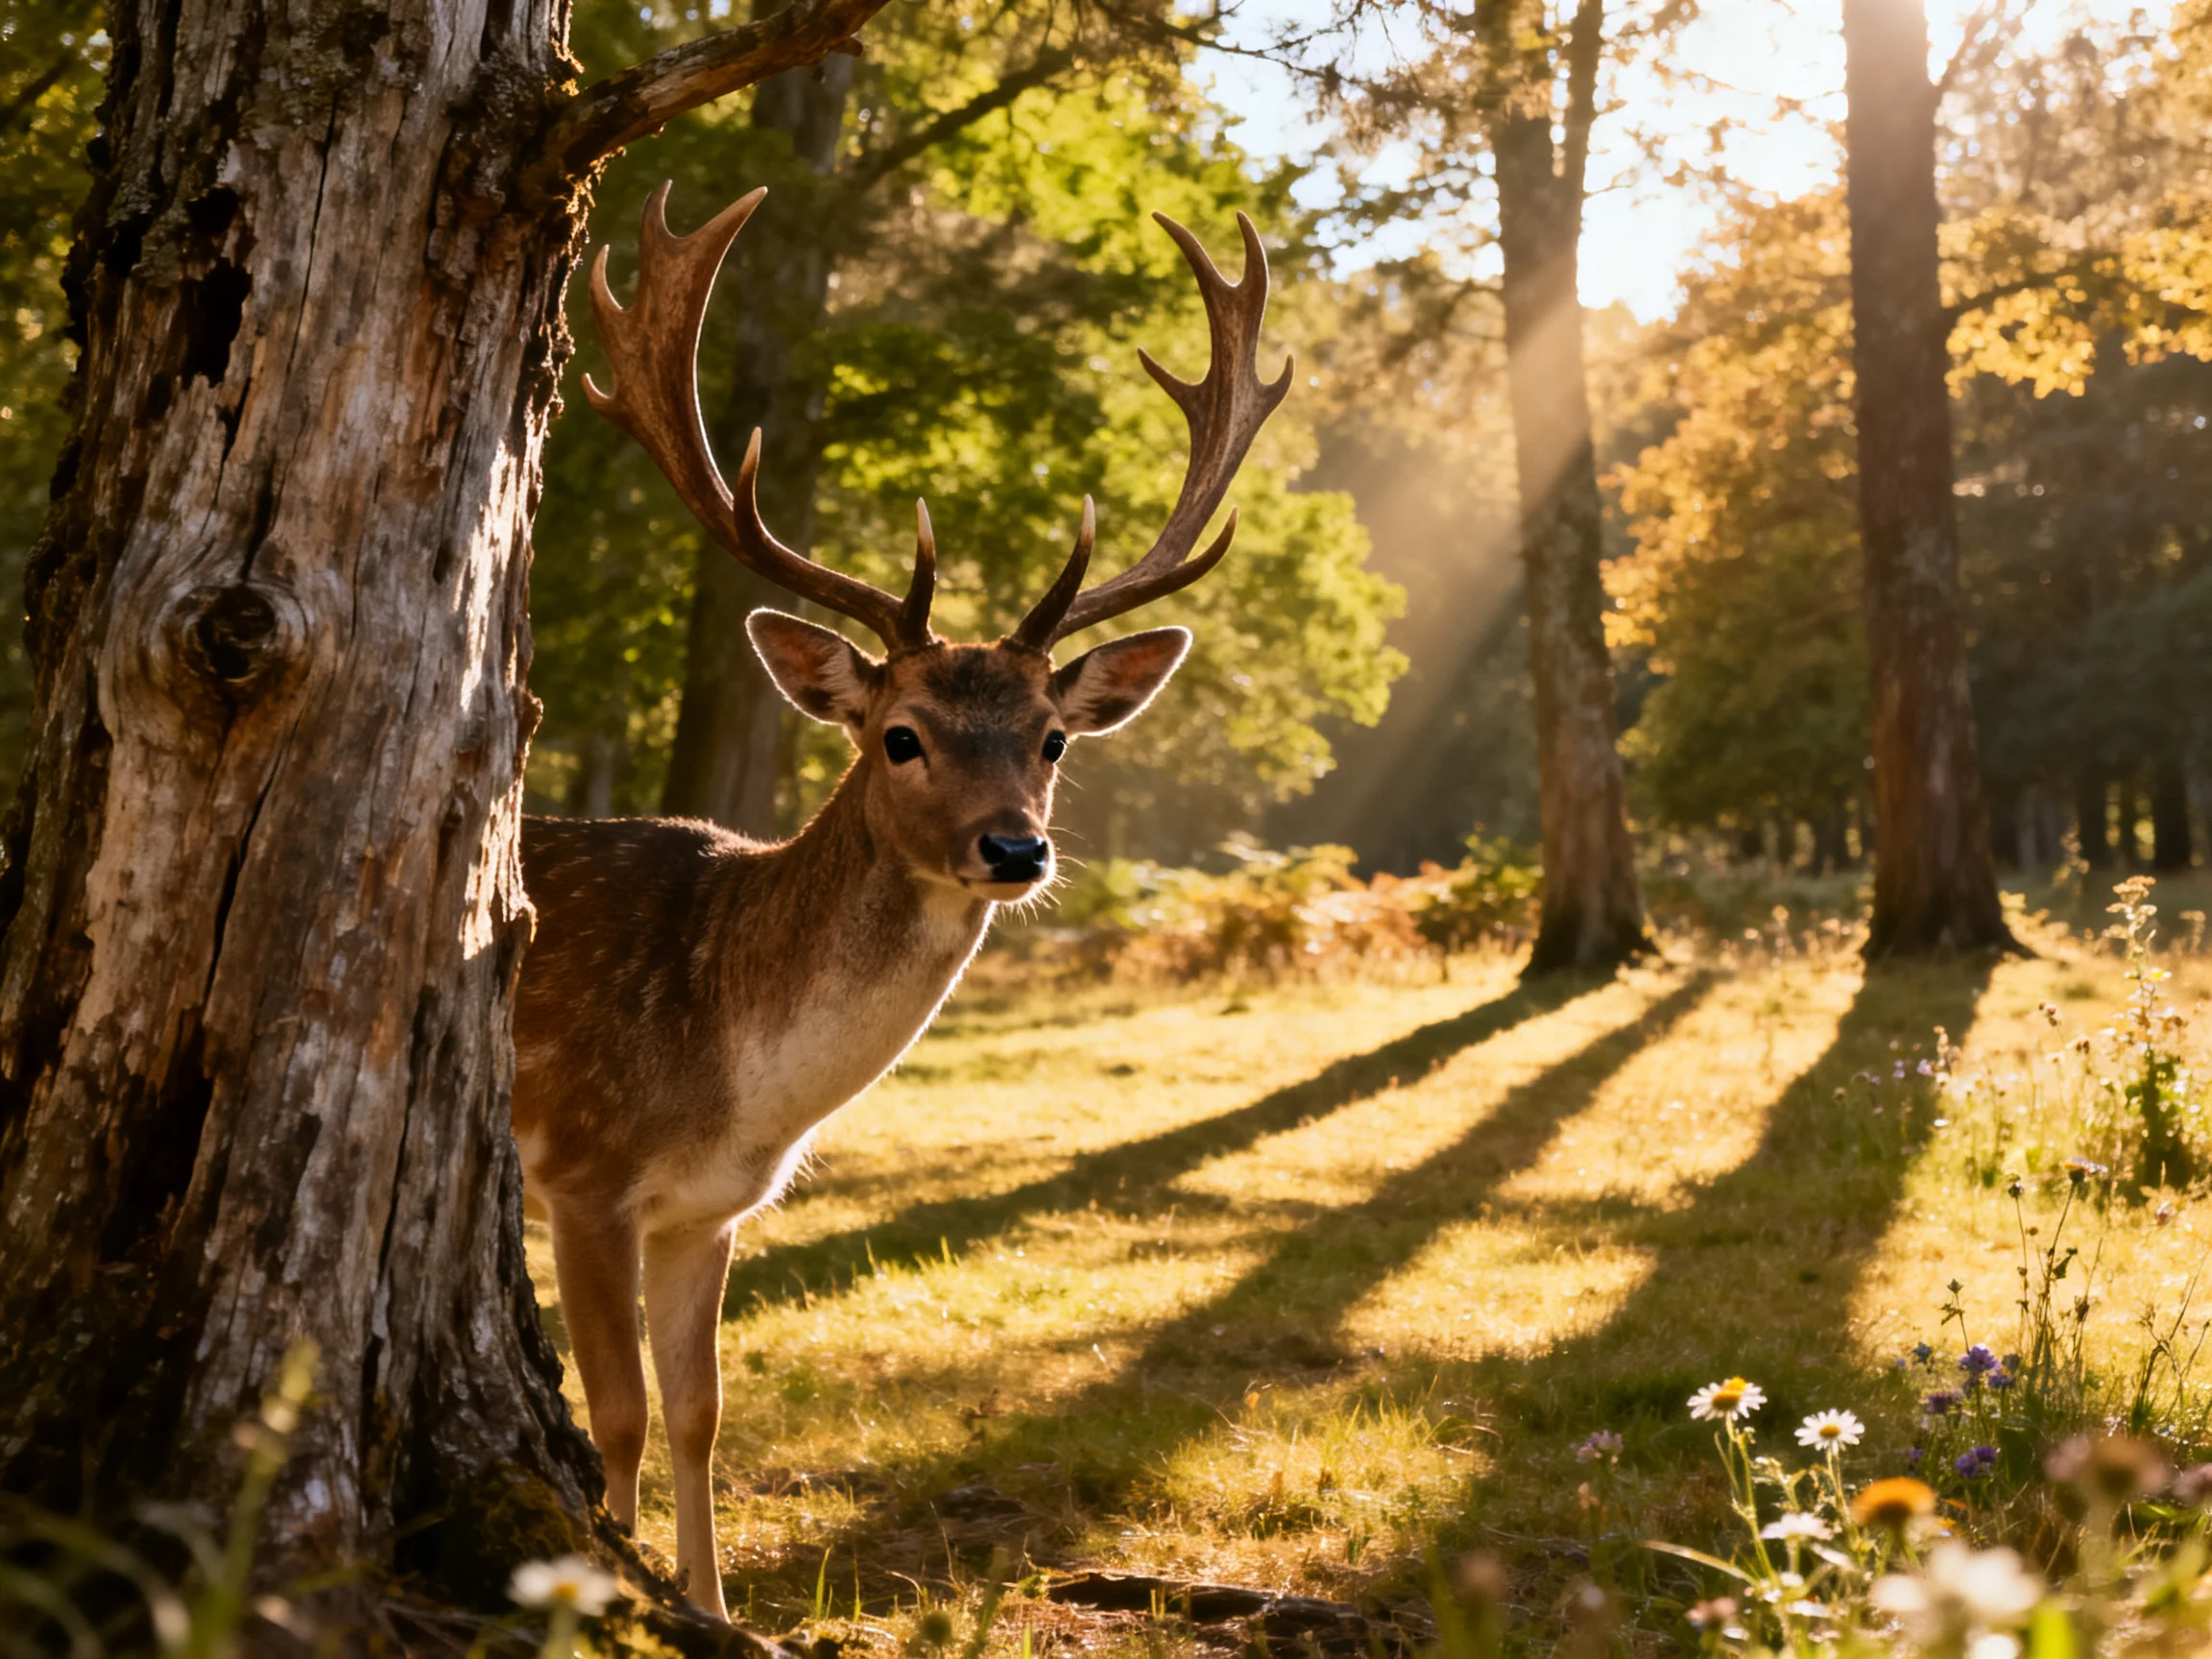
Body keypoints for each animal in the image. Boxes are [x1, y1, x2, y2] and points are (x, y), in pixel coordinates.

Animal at [511, 183, 1289, 1618]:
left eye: (1051, 737)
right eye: (901, 736)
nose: (1015, 850)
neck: (734, 1080)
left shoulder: (706, 1215)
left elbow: (701, 1417)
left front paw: (712, 1612)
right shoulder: (585, 1171)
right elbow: (620, 1418)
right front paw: (615, 1586)